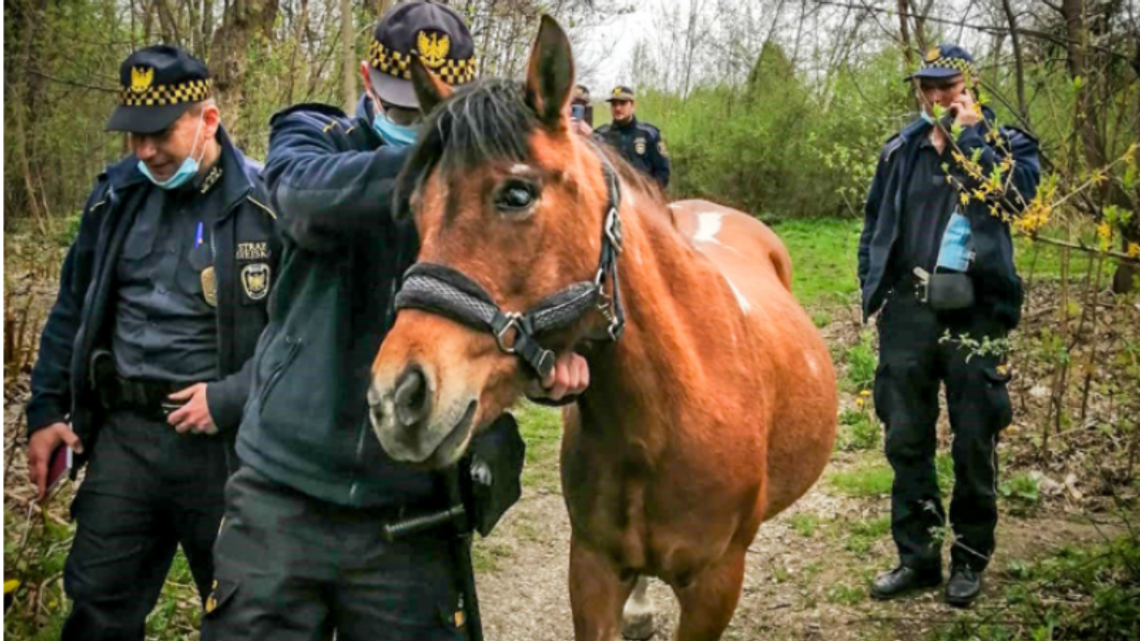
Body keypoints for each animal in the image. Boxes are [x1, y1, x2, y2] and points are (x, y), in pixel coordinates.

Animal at [371, 16, 839, 638]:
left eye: (516, 194)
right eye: (416, 210)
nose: (396, 398)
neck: (668, 416)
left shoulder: (716, 585)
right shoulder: (591, 569)